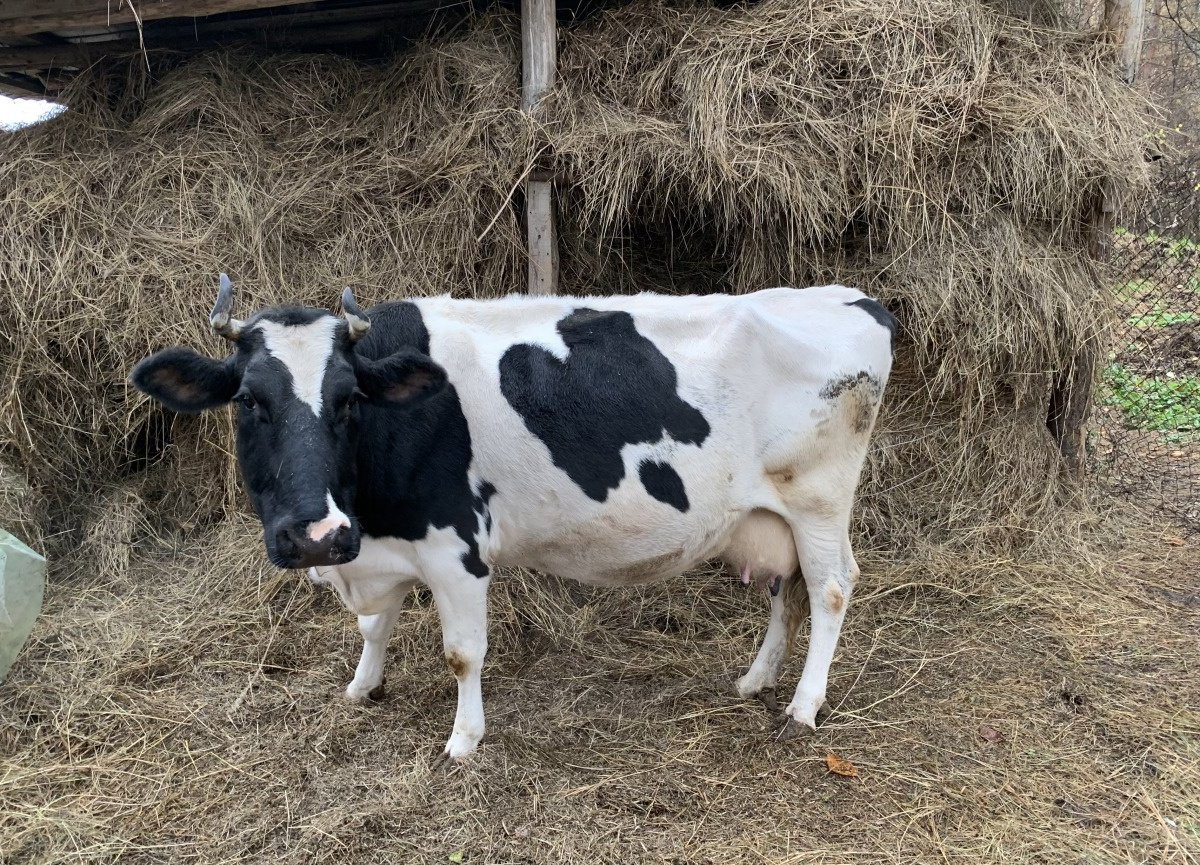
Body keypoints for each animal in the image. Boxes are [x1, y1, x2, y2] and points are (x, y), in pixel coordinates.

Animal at [133, 274, 892, 758]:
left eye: (349, 399)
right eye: (248, 400)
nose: (314, 534)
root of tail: (850, 298)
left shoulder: (455, 548)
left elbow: (463, 652)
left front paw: (464, 739)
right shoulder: (378, 542)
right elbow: (374, 626)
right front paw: (362, 685)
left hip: (818, 498)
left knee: (830, 586)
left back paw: (803, 705)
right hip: (770, 513)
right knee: (785, 587)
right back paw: (757, 678)